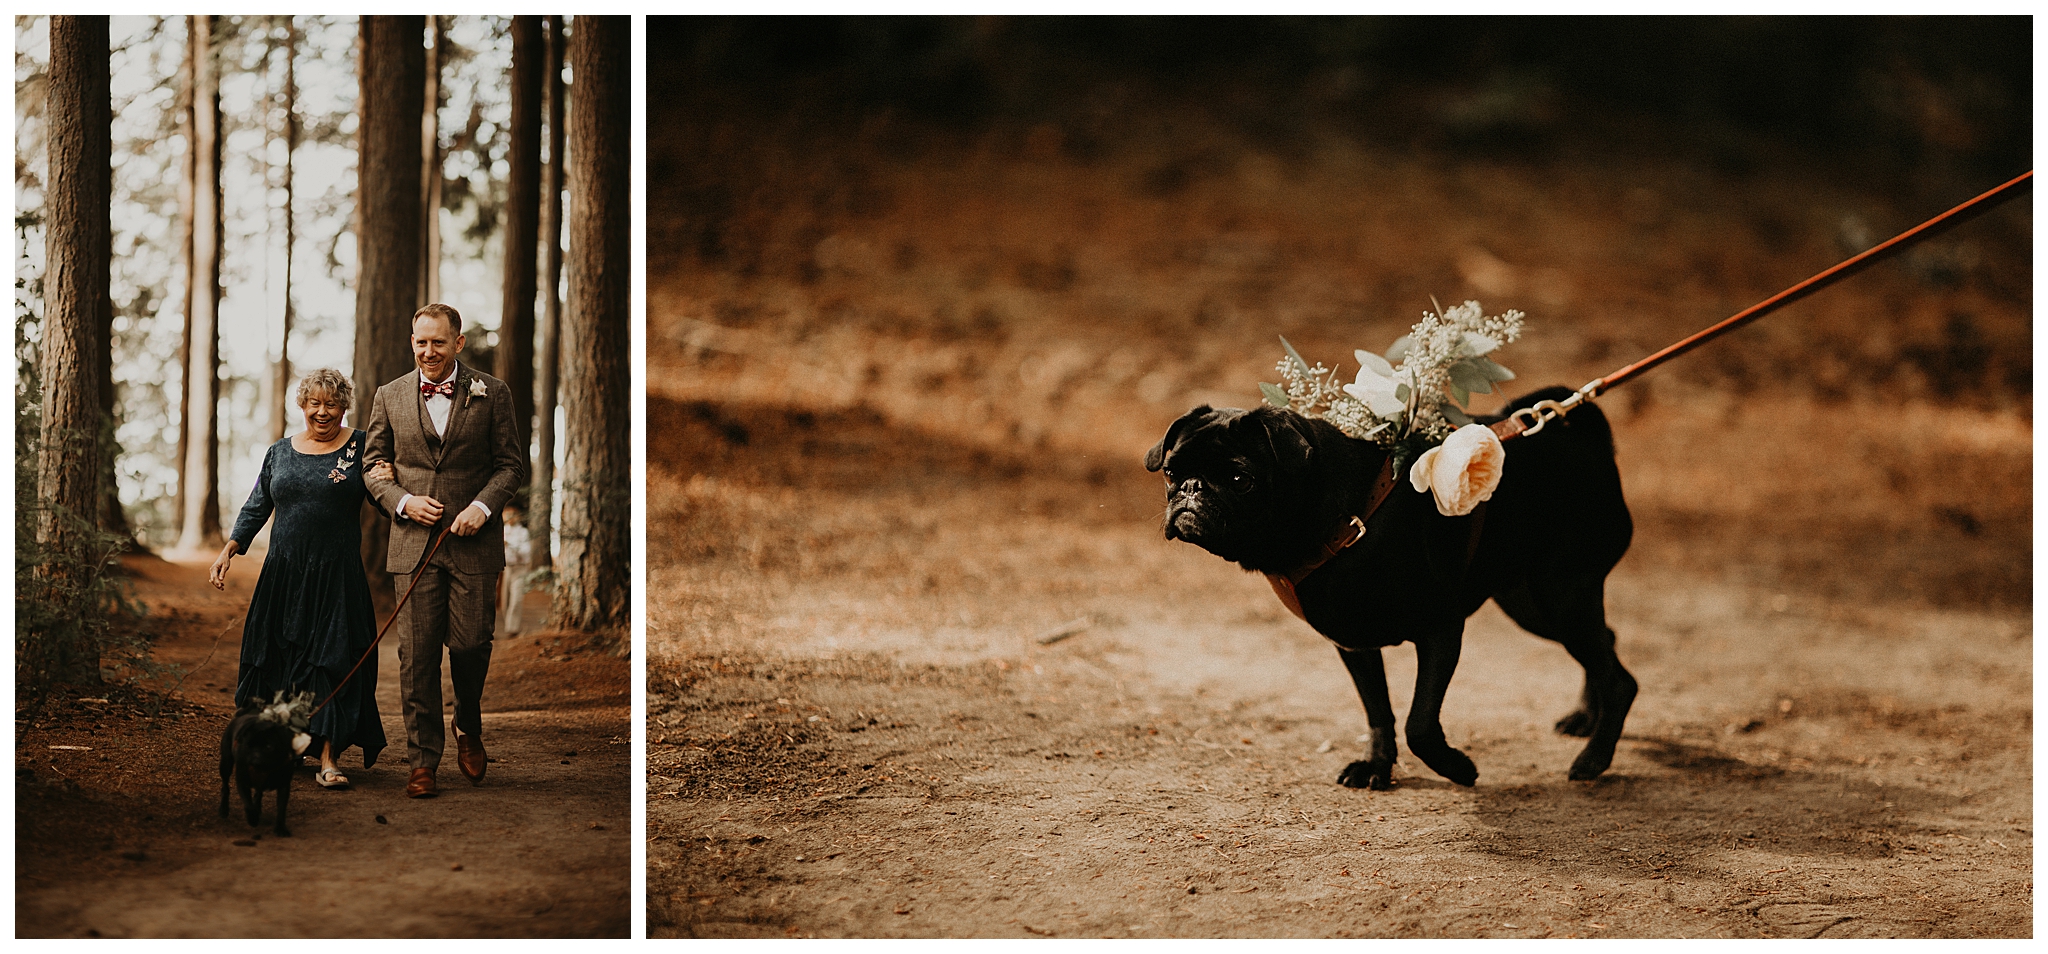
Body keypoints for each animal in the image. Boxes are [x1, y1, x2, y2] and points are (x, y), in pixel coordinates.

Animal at [218, 700, 299, 835]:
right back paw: (223, 810)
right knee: (225, 787)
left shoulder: (284, 786)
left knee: (258, 792)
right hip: (226, 764)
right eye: (248, 746)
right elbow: (248, 804)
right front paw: (253, 819)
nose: (255, 758)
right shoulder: (242, 782)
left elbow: (281, 809)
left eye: (269, 747)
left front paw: (280, 828)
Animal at [1155, 382, 1630, 786]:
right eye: (1170, 474)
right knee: (1605, 642)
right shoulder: (1354, 644)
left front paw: (1458, 768)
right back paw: (1585, 719)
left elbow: (1419, 723)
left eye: (1241, 480)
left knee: (1620, 679)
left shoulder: (1441, 630)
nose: (1191, 489)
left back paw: (1594, 758)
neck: (1347, 513)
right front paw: (1378, 767)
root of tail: (1581, 436)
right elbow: (1378, 712)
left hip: (1560, 595)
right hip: (1529, 603)